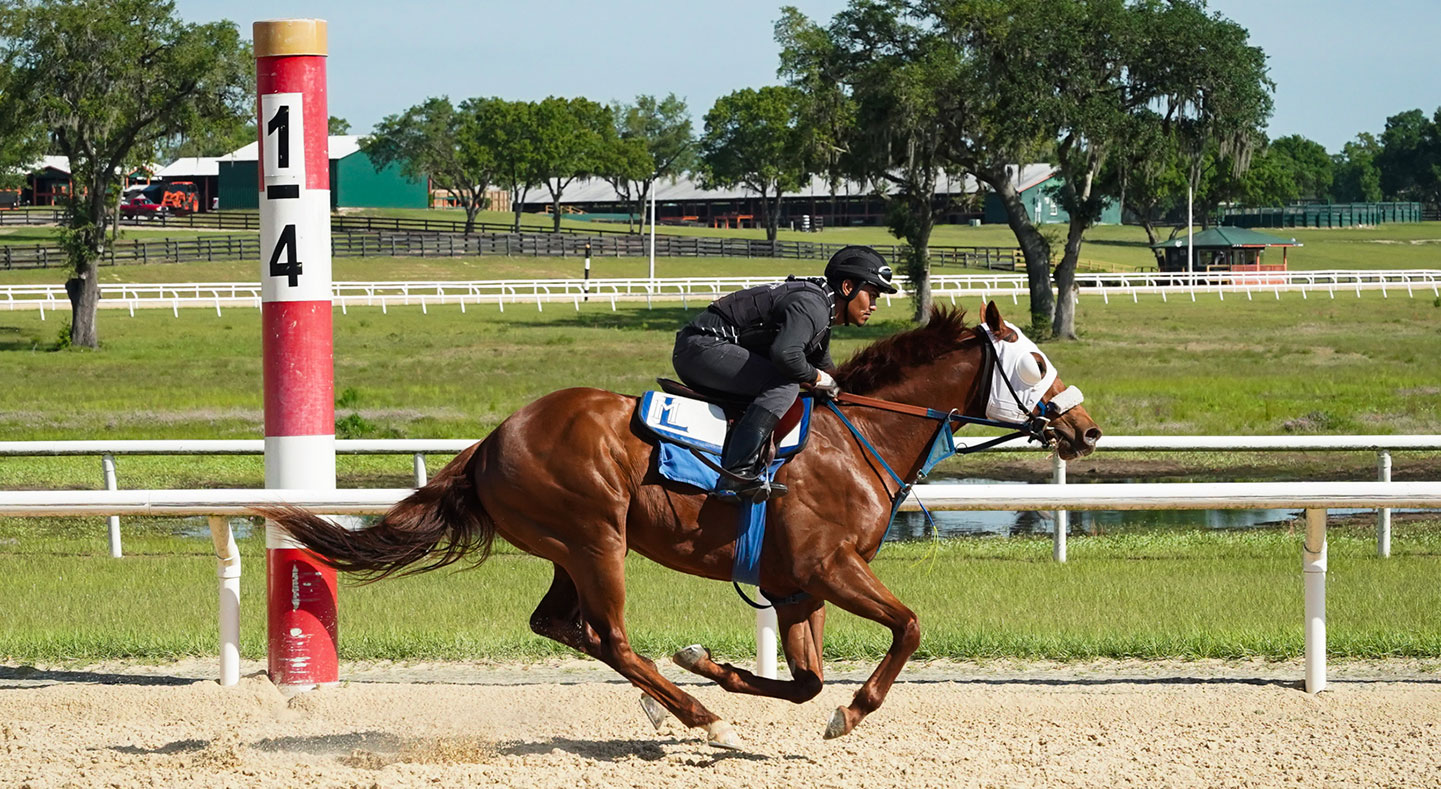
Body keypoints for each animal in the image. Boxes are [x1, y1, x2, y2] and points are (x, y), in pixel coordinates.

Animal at [265, 300, 1095, 748]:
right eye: (1034, 361)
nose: (1083, 428)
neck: (859, 436)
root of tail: (493, 437)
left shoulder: (795, 585)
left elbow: (802, 681)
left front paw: (710, 662)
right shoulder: (828, 567)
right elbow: (908, 628)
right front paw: (849, 712)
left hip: (569, 547)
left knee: (560, 624)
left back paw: (680, 701)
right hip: (596, 538)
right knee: (608, 635)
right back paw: (703, 718)